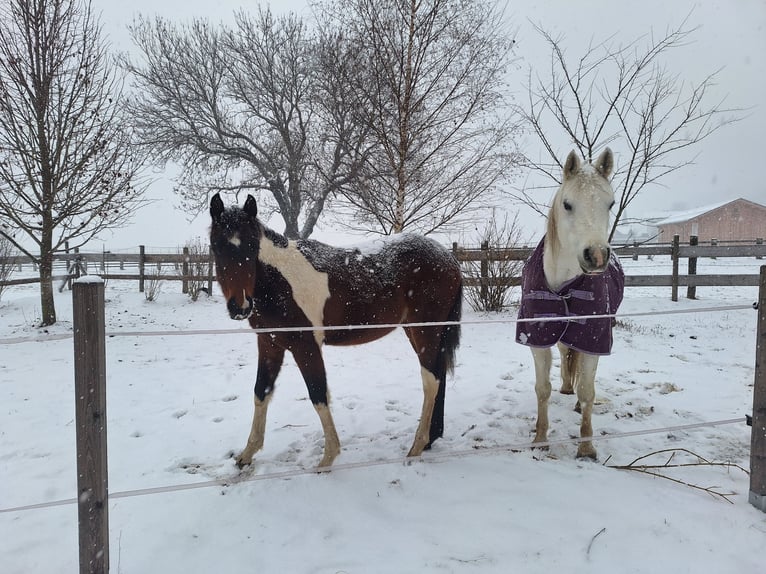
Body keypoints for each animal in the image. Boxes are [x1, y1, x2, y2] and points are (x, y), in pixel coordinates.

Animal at [209, 193, 463, 468]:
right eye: (216, 246)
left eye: (252, 246)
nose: (240, 306)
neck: (280, 282)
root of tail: (449, 258)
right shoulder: (269, 344)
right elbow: (261, 392)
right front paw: (246, 454)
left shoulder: (305, 347)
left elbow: (318, 393)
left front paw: (328, 457)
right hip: (421, 332)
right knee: (438, 374)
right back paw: (430, 440)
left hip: (425, 331)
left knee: (430, 380)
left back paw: (416, 447)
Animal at [516, 148, 624, 460]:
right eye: (567, 205)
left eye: (610, 203)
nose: (597, 256)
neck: (564, 286)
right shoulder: (537, 337)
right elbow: (543, 388)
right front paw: (540, 439)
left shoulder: (594, 337)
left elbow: (588, 391)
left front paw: (586, 447)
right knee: (566, 353)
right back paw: (566, 389)